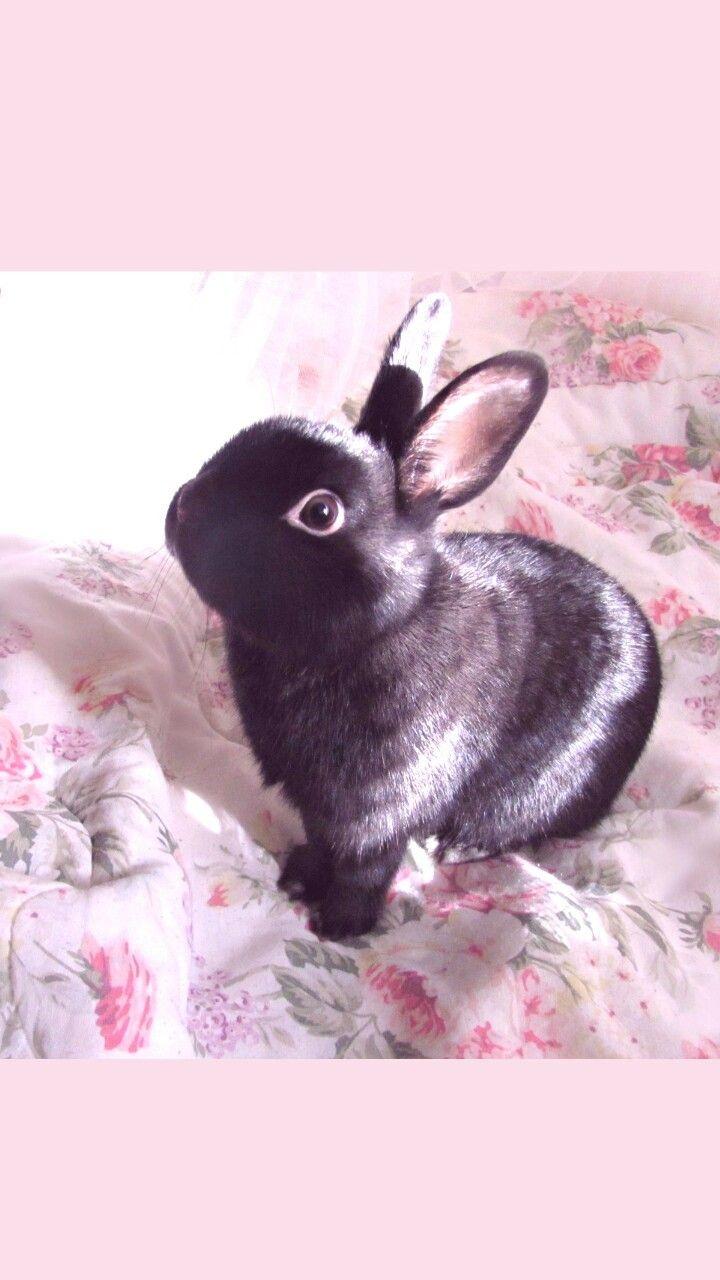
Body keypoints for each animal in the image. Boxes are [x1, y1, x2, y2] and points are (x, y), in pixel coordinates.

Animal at [165, 293, 661, 940]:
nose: (181, 507)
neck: (374, 629)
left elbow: (365, 867)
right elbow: (322, 845)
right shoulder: (322, 808)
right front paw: (298, 879)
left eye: (319, 512)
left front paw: (340, 927)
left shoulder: (376, 813)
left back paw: (459, 846)